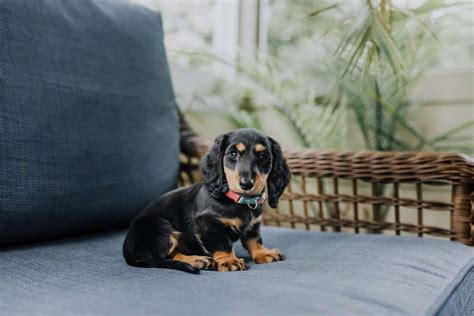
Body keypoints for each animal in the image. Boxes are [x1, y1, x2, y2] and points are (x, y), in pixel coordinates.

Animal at [122, 127, 290, 272]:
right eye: (233, 154)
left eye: (263, 157)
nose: (246, 184)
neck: (239, 200)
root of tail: (127, 252)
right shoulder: (208, 224)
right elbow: (223, 244)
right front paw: (229, 260)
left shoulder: (253, 224)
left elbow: (254, 239)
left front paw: (263, 253)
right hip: (159, 226)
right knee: (168, 254)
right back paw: (197, 260)